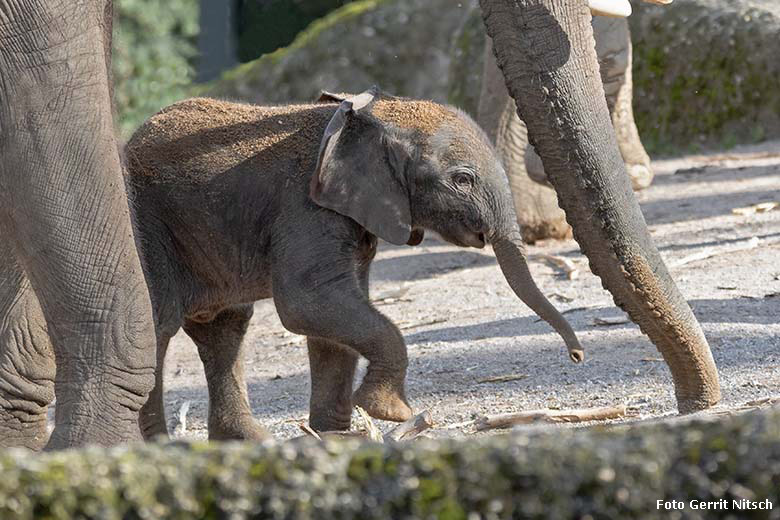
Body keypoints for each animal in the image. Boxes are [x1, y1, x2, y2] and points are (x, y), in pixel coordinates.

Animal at [125, 87, 580, 436]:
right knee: (160, 326)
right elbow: (307, 304)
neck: (371, 121)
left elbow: (331, 322)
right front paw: (390, 412)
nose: (575, 357)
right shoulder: (306, 207)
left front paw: (332, 436)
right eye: (463, 180)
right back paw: (159, 447)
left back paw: (246, 441)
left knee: (225, 328)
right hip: (146, 224)